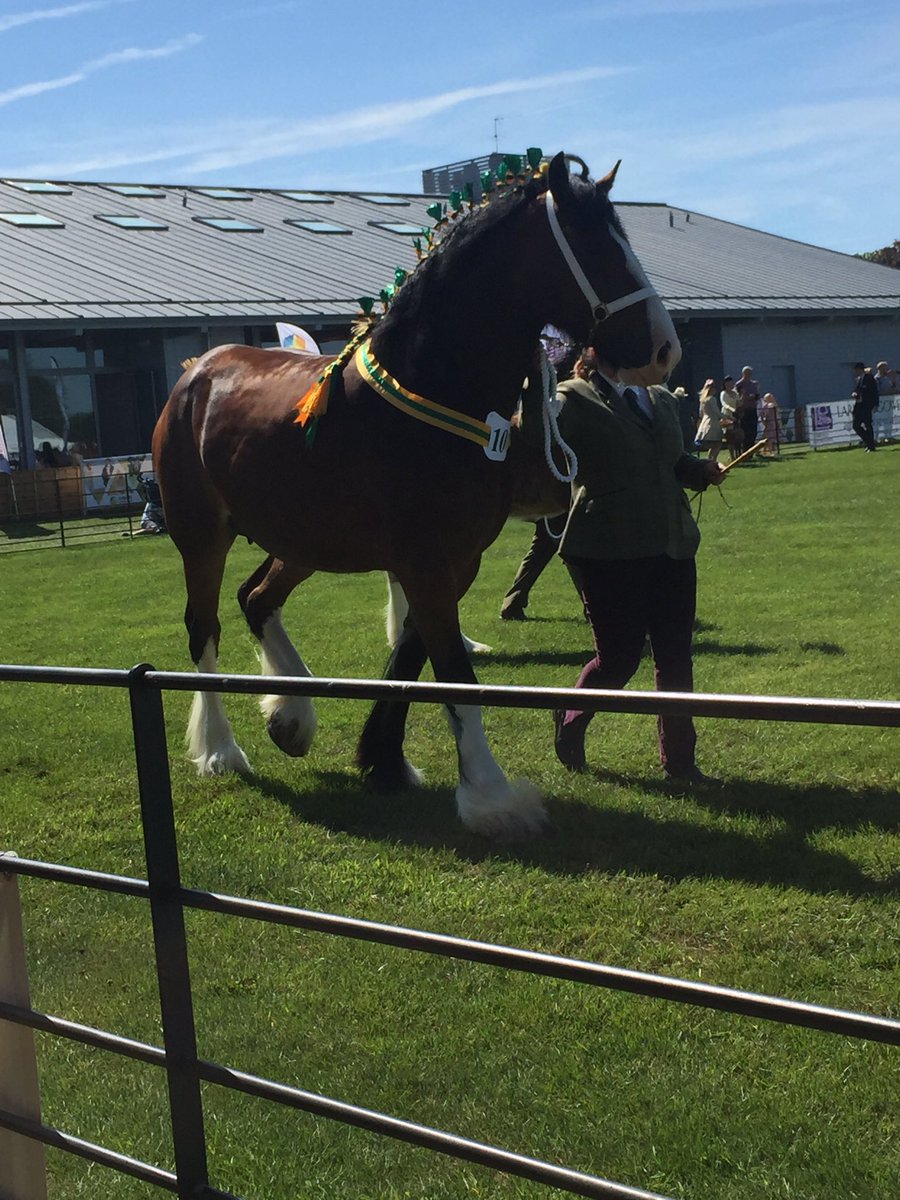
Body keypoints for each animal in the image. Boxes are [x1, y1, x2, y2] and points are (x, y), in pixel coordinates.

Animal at [152, 151, 681, 838]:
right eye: (594, 244)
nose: (664, 349)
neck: (431, 391)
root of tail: (198, 370)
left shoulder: (451, 561)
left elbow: (411, 657)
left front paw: (384, 761)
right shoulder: (425, 563)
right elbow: (453, 670)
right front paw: (491, 796)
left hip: (302, 540)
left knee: (257, 598)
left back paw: (291, 714)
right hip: (201, 536)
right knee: (204, 627)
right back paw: (221, 749)